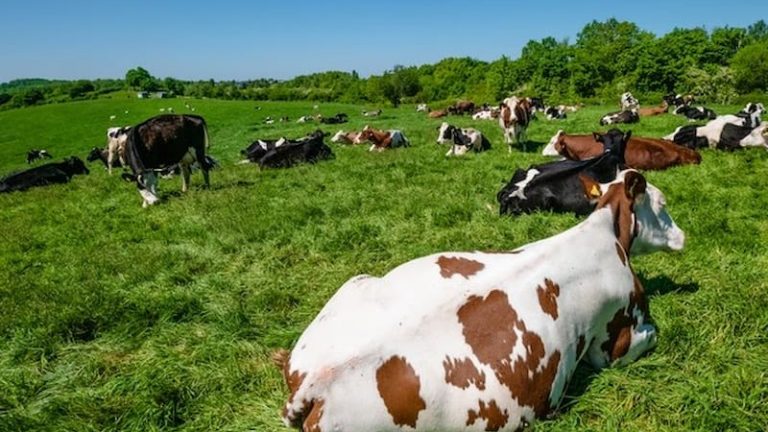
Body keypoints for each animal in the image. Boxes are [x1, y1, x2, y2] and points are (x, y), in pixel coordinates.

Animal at [275, 169, 684, 432]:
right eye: (662, 203)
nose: (684, 236)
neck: (606, 233)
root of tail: (314, 383)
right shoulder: (615, 341)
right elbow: (649, 336)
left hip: (354, 282)